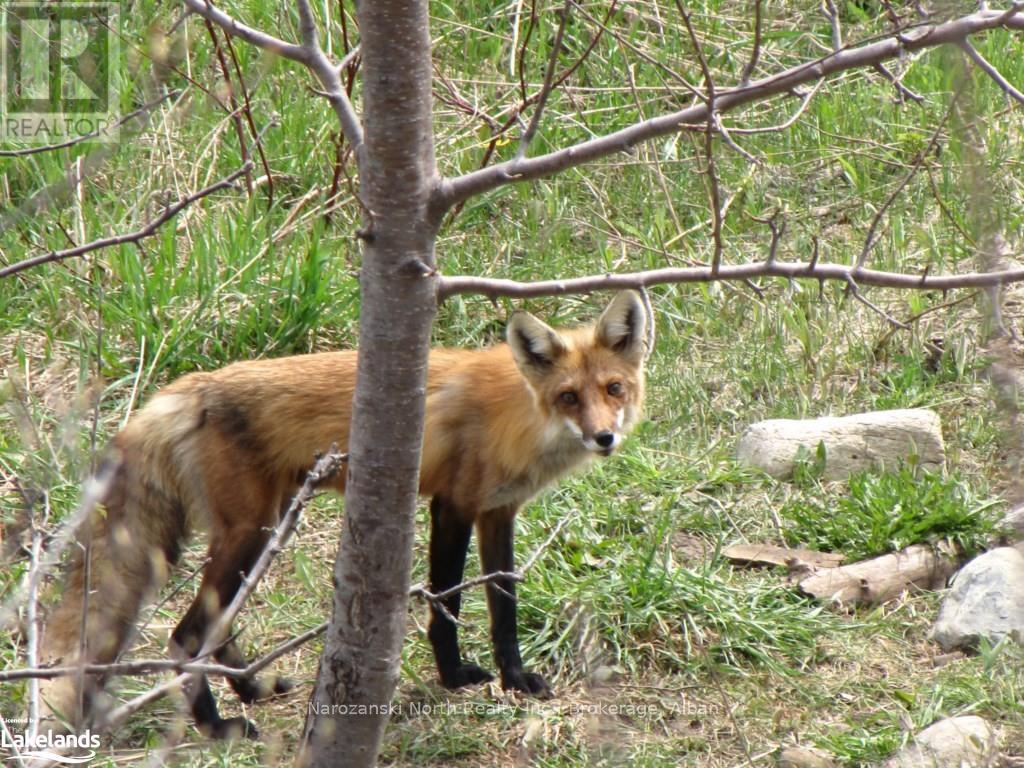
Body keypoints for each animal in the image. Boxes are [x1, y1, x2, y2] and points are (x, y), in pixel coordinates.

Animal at [41, 290, 647, 741]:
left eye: (613, 388)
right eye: (569, 397)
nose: (605, 437)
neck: (519, 419)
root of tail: (183, 389)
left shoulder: (498, 512)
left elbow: (504, 607)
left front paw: (516, 679)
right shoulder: (452, 506)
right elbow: (447, 603)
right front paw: (454, 677)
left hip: (265, 527)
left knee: (219, 620)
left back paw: (251, 689)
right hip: (247, 532)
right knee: (185, 636)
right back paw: (217, 727)